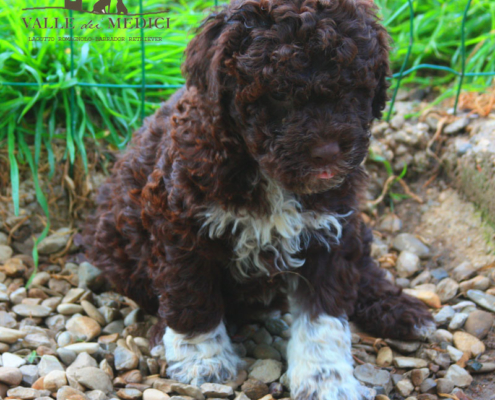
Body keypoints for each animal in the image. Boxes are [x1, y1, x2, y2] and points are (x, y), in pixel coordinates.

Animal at [85, 1, 434, 398]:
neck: (267, 174)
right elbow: (191, 295)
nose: (328, 153)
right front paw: (201, 358)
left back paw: (400, 309)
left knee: (362, 268)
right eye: (278, 92)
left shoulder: (330, 225)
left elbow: (323, 315)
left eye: (353, 89)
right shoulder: (180, 224)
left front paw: (325, 377)